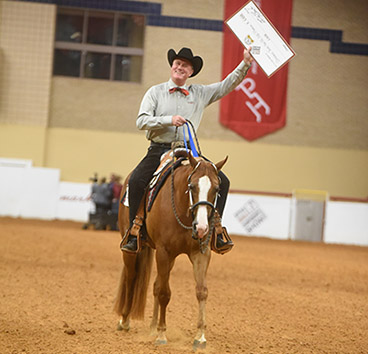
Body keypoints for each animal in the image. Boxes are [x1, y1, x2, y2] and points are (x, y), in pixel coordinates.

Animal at [113, 151, 227, 350]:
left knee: (156, 284)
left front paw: (200, 337)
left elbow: (201, 291)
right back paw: (125, 320)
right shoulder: (164, 251)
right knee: (131, 277)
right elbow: (165, 293)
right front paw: (161, 334)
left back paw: (152, 327)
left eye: (217, 188)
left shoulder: (200, 253)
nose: (202, 228)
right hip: (132, 250)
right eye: (192, 186)